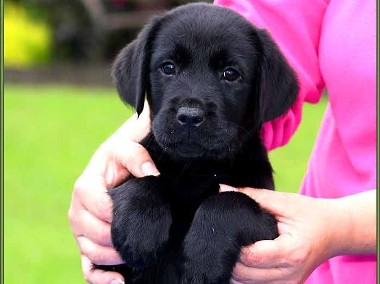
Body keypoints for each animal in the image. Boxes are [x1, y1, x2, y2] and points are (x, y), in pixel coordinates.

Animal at [96, 2, 298, 284]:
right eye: (168, 67)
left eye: (230, 74)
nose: (190, 116)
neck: (196, 169)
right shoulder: (110, 265)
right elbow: (141, 179)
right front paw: (139, 229)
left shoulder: (270, 228)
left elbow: (230, 201)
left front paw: (204, 258)